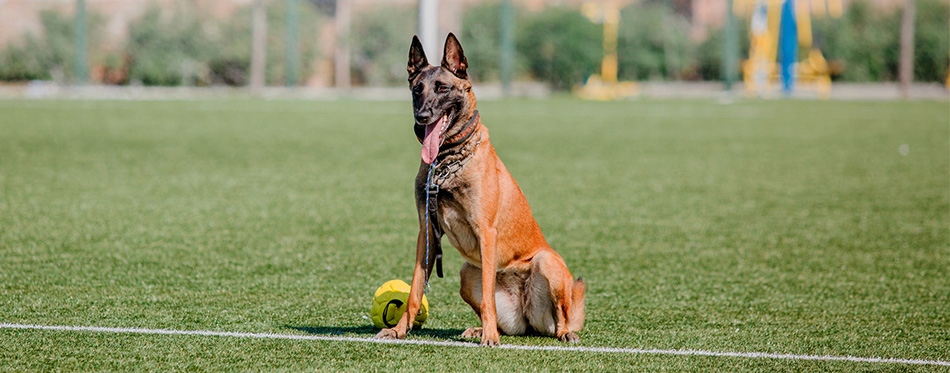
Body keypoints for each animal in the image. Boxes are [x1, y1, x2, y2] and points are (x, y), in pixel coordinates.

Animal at [374, 33, 584, 344]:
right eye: (417, 90)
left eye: (442, 88)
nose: (422, 116)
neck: (446, 162)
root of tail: (528, 315)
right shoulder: (426, 232)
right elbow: (414, 291)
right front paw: (399, 329)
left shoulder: (486, 231)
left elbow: (487, 298)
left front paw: (489, 337)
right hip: (466, 273)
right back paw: (481, 329)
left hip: (547, 262)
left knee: (561, 316)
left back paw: (561, 333)